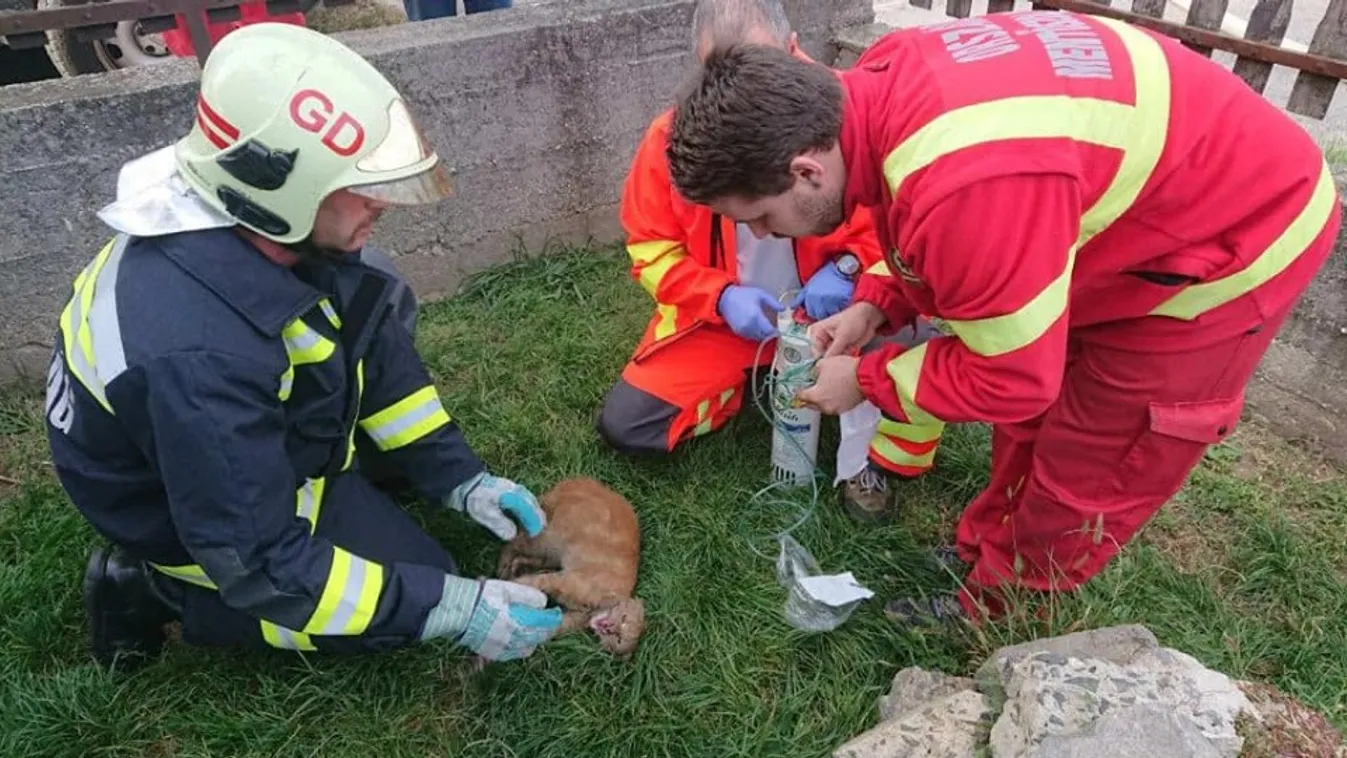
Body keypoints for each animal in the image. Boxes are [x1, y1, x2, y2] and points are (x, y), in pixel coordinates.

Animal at [498, 476, 643, 654]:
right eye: (623, 619)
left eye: (619, 639)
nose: (609, 628)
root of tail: (575, 482)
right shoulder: (564, 580)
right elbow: (530, 582)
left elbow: (551, 627)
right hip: (547, 539)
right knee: (513, 541)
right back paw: (503, 567)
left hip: (552, 552)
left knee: (524, 555)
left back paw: (515, 567)